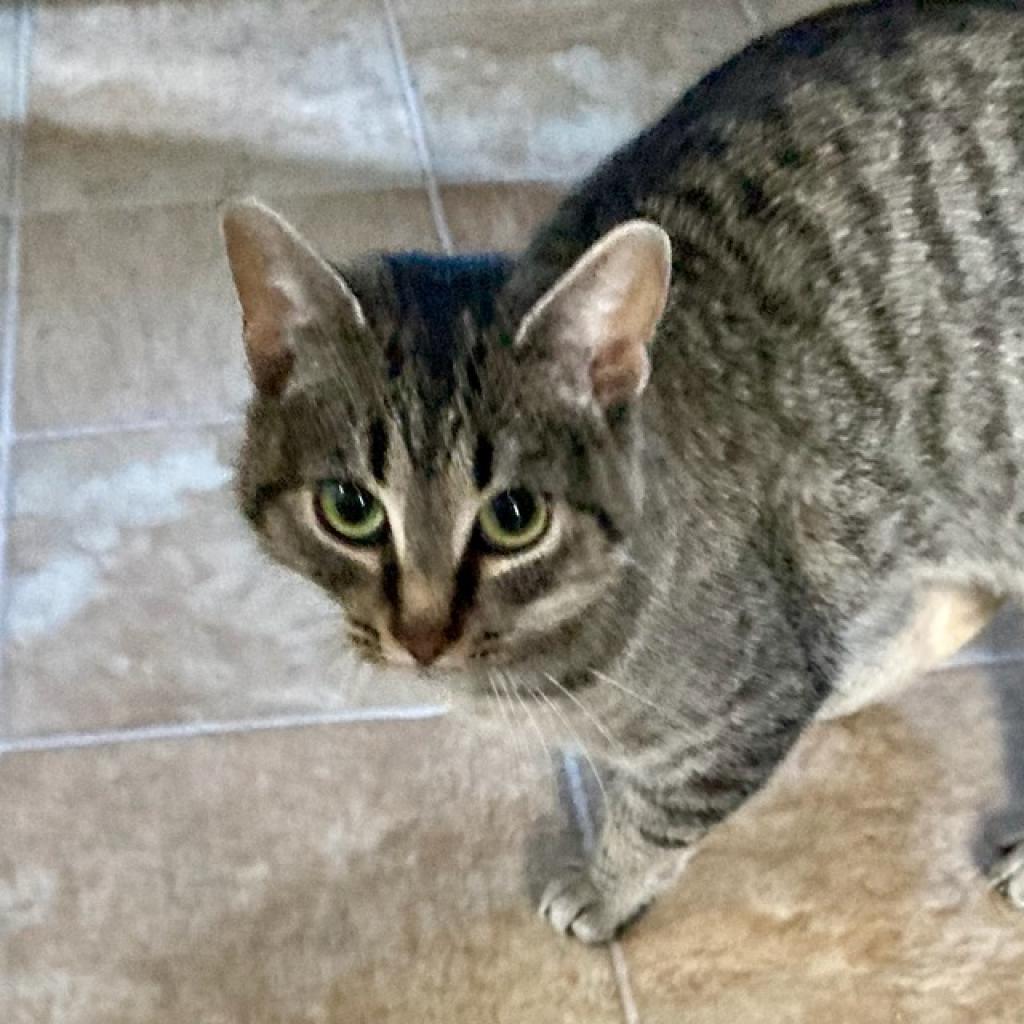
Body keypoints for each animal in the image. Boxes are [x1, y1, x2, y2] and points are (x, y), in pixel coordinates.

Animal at [222, 2, 1024, 942]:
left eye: (515, 518)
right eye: (349, 507)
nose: (421, 635)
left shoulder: (748, 701)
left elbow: (667, 808)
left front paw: (609, 886)